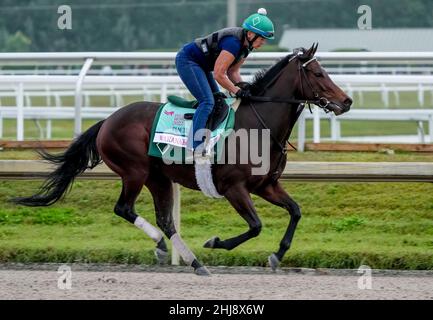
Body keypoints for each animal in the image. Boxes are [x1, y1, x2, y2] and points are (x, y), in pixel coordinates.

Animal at [12, 43, 352, 276]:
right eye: (318, 73)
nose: (346, 101)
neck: (259, 125)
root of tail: (107, 121)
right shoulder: (234, 188)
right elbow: (255, 226)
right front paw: (215, 242)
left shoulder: (266, 185)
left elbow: (295, 211)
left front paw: (277, 255)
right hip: (135, 172)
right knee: (124, 208)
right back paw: (164, 247)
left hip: (158, 177)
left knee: (166, 220)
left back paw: (194, 262)